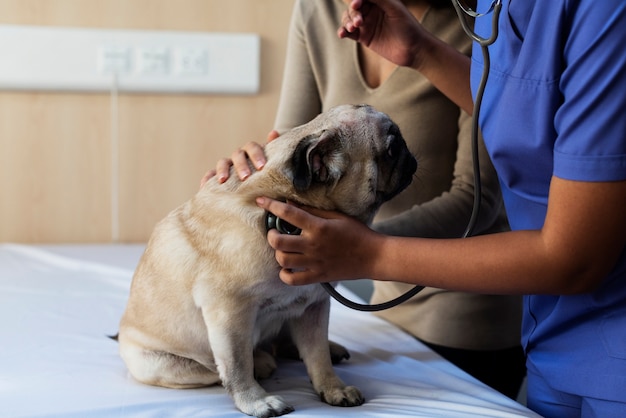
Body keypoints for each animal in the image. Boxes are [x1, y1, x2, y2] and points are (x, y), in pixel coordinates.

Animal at [118, 103, 420, 416]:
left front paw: (333, 388)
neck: (285, 200)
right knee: (217, 369)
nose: (411, 155)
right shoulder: (229, 313)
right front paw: (256, 401)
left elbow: (317, 356)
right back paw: (261, 362)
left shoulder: (314, 306)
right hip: (161, 364)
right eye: (391, 148)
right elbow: (237, 365)